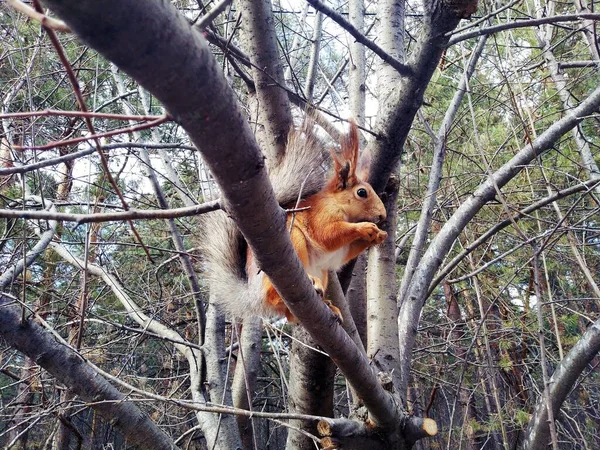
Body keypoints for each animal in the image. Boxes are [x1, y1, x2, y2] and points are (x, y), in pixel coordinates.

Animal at [202, 120, 386, 324]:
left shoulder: (338, 253)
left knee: (290, 316)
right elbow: (327, 235)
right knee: (273, 295)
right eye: (362, 193)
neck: (341, 206)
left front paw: (378, 236)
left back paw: (329, 306)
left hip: (321, 272)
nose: (383, 216)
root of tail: (254, 296)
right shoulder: (321, 215)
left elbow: (342, 254)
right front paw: (365, 227)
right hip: (294, 240)